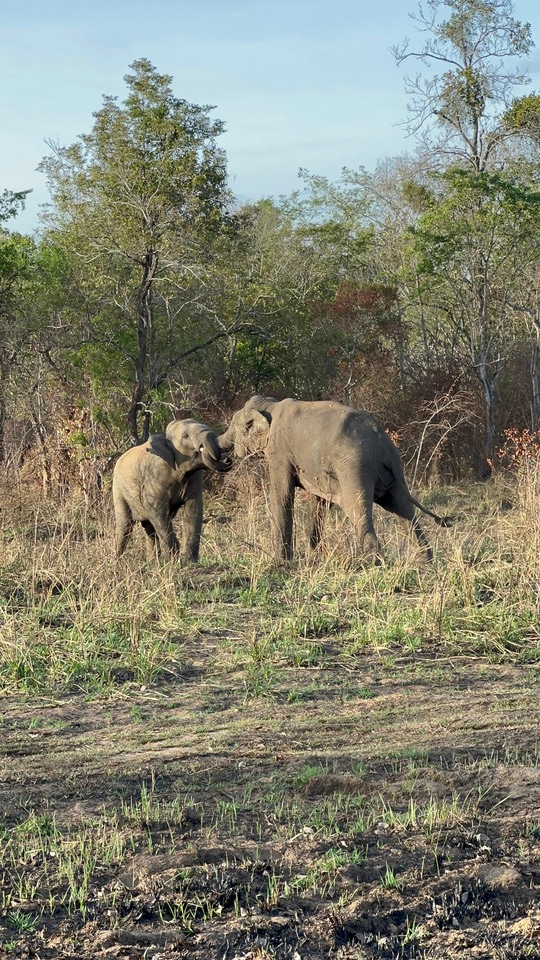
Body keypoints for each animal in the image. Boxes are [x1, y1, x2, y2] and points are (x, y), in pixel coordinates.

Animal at [113, 418, 232, 561]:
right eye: (185, 436)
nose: (227, 459)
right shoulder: (154, 477)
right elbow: (157, 511)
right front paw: (173, 561)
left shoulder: (195, 478)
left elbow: (194, 509)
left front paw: (189, 562)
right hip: (118, 489)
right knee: (125, 525)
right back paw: (118, 561)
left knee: (149, 528)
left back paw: (153, 562)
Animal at [219, 395, 452, 561]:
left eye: (233, 427)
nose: (226, 460)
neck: (270, 405)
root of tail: (383, 443)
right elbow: (319, 502)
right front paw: (316, 558)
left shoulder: (279, 451)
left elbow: (282, 495)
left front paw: (281, 562)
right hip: (390, 474)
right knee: (403, 510)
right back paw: (424, 563)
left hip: (354, 469)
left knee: (357, 509)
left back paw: (370, 563)